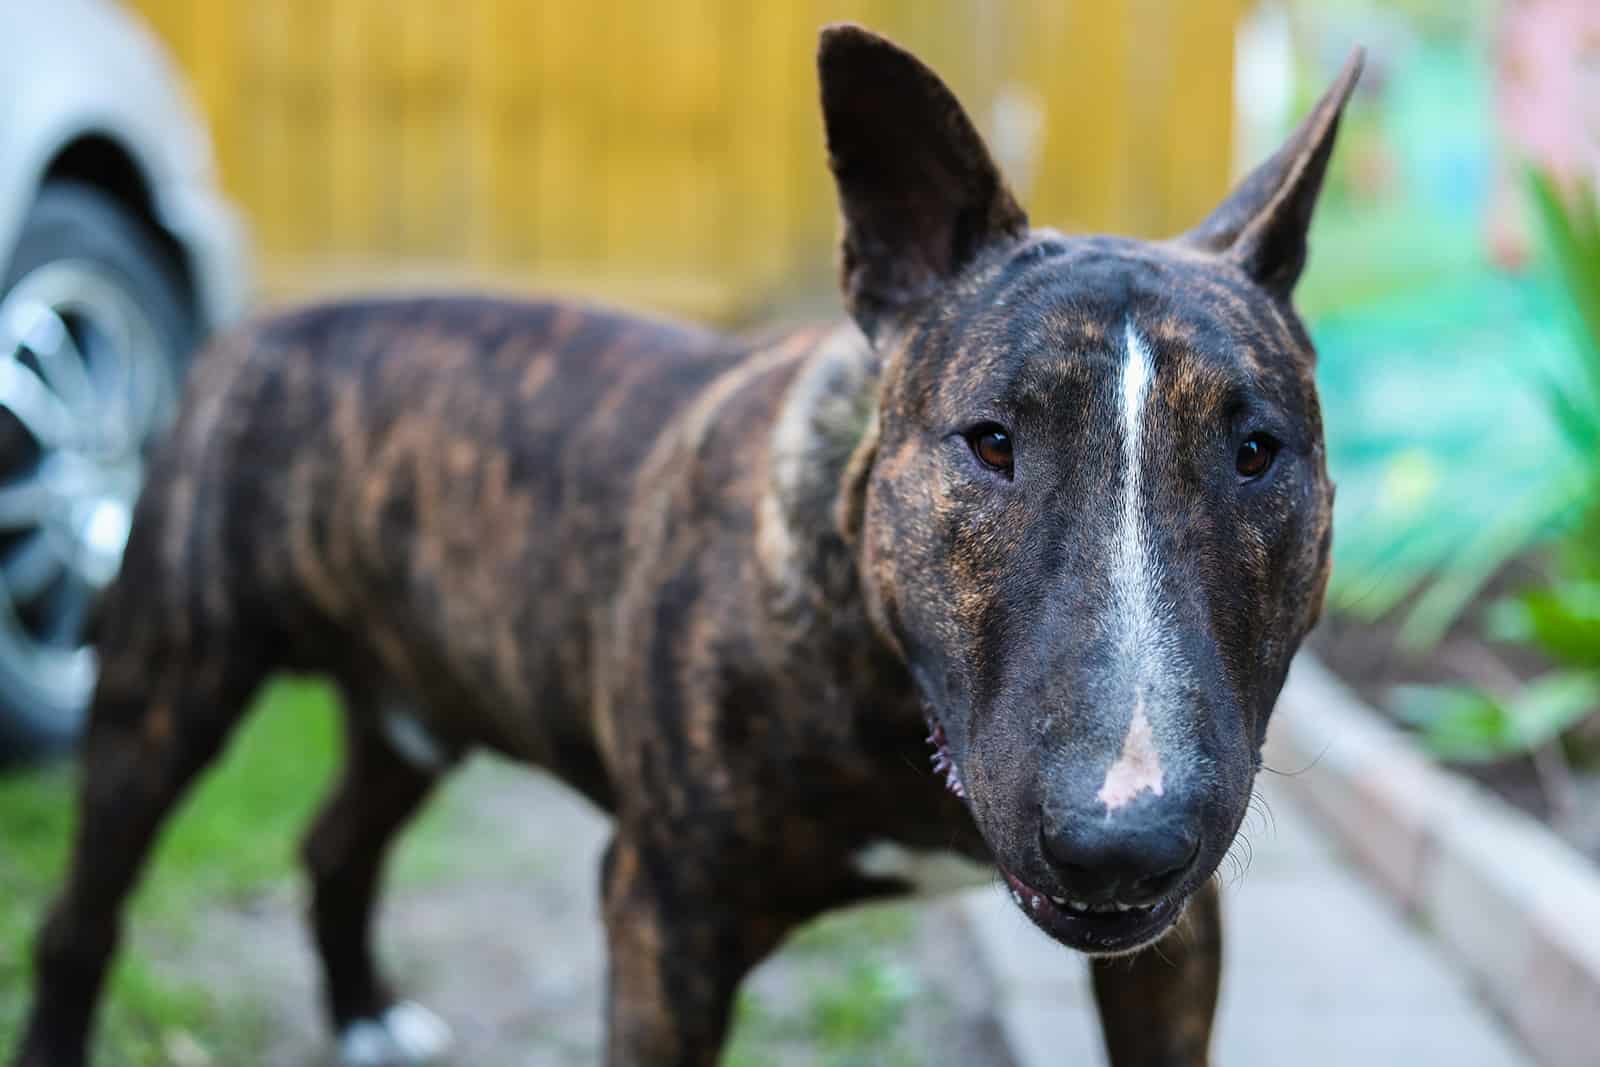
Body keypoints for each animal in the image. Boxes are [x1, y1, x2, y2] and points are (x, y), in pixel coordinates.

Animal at [12, 24, 1363, 1067]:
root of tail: (262, 326)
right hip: (163, 689)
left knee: (334, 842)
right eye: (989, 441)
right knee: (85, 907)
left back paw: (364, 1015)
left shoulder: (1175, 942)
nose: (1124, 837)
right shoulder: (664, 919)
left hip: (419, 700)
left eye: (1257, 449)